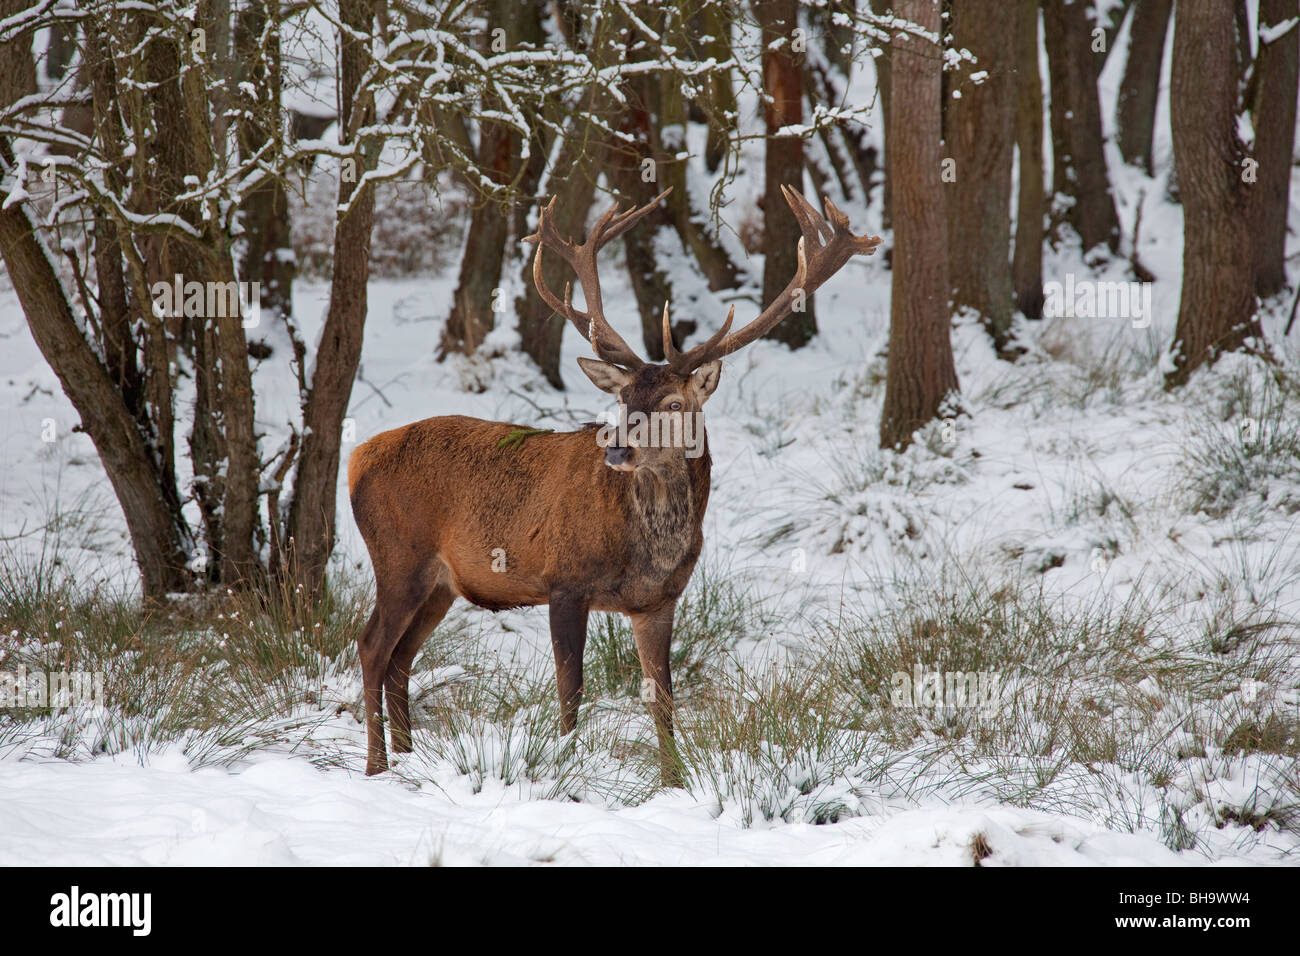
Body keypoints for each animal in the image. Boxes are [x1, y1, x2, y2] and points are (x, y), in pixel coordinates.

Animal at [348, 183, 883, 780]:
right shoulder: (564, 580)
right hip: (400, 555)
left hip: (441, 583)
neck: (646, 547)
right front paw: (565, 769)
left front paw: (674, 781)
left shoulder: (659, 602)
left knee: (401, 659)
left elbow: (663, 697)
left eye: (672, 403)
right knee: (371, 648)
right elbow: (571, 690)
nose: (619, 449)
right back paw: (376, 766)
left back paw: (407, 760)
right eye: (624, 398)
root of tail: (357, 457)